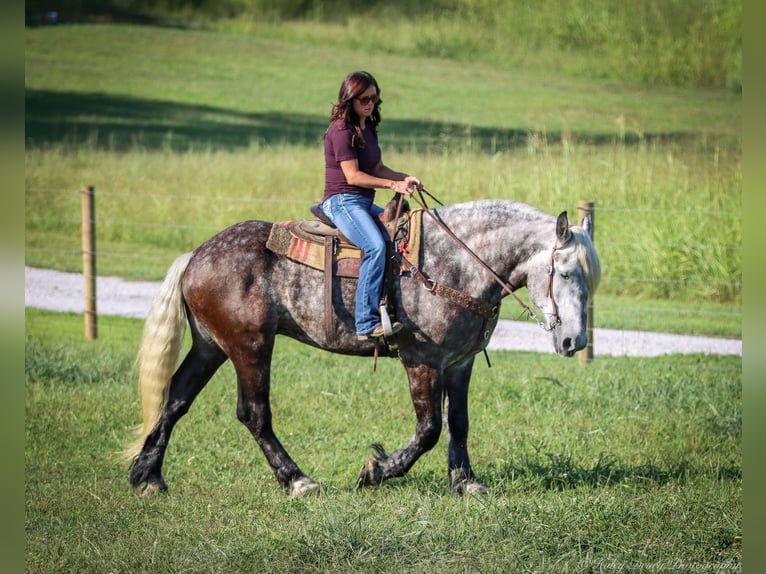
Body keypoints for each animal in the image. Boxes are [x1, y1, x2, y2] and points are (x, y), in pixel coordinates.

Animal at [126, 200, 604, 498]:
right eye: (564, 273)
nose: (574, 341)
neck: (456, 263)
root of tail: (195, 256)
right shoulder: (422, 361)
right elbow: (429, 429)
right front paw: (377, 471)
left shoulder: (460, 362)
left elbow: (459, 424)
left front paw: (465, 482)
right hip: (250, 345)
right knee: (253, 413)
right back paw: (297, 480)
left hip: (211, 346)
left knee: (176, 399)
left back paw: (148, 476)